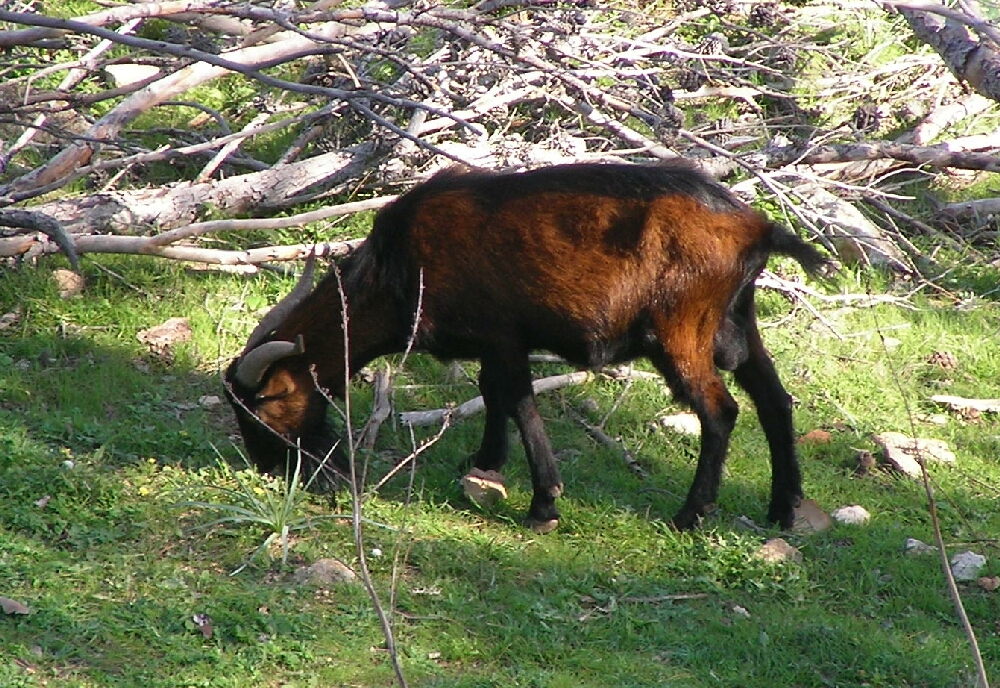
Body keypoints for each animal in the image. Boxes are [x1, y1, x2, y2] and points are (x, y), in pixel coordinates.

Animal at [223, 161, 830, 532]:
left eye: (265, 406)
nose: (269, 469)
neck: (397, 269)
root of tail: (757, 229)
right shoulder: (496, 344)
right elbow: (494, 394)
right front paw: (487, 463)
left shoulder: (503, 335)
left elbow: (517, 400)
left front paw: (543, 504)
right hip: (736, 325)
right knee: (775, 401)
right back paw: (783, 507)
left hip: (680, 332)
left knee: (719, 411)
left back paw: (690, 514)